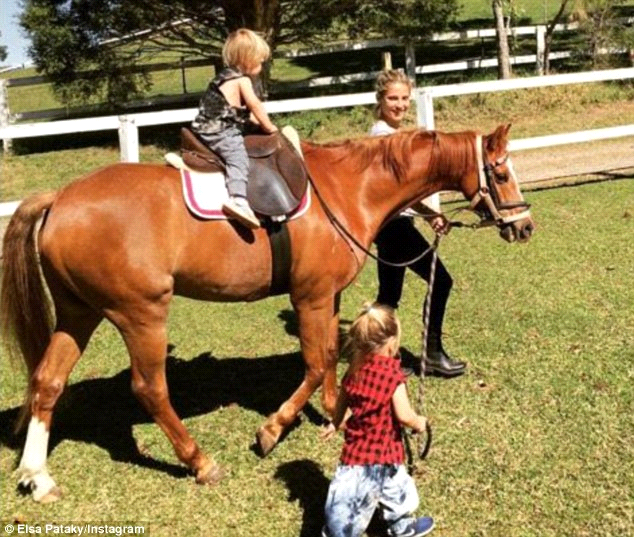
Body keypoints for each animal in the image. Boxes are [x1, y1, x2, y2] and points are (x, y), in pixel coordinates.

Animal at [1, 123, 532, 500]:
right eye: (502, 172)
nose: (524, 226)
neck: (347, 187)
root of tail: (60, 199)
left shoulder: (326, 296)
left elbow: (330, 357)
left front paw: (335, 413)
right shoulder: (309, 296)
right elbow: (315, 364)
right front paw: (273, 429)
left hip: (79, 313)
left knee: (47, 381)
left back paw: (37, 475)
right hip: (141, 315)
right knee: (149, 388)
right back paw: (198, 461)